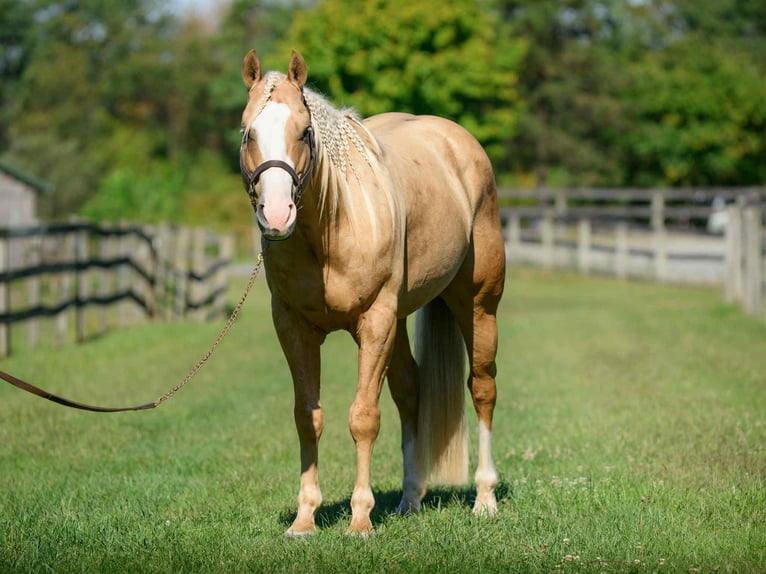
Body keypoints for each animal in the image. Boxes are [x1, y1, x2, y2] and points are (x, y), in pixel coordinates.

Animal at [239, 49, 505, 535]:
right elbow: (308, 418)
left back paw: (484, 498)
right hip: (399, 321)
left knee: (482, 388)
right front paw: (304, 519)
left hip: (477, 306)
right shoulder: (293, 327)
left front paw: (360, 519)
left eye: (304, 131)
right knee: (410, 390)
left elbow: (363, 417)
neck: (331, 228)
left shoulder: (374, 322)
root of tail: (458, 141)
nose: (277, 215)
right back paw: (410, 498)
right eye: (249, 131)